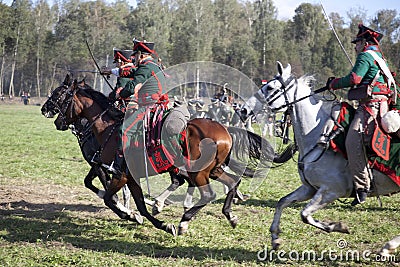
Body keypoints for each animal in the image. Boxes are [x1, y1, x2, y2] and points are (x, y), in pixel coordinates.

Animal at [42, 74, 280, 236]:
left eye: (59, 94)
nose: (47, 112)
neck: (106, 128)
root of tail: (225, 131)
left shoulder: (117, 174)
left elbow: (109, 198)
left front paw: (129, 214)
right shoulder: (128, 177)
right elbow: (137, 204)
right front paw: (157, 222)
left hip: (199, 173)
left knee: (207, 194)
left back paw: (184, 220)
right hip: (213, 170)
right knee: (231, 182)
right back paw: (230, 215)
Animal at [241, 61, 400, 254]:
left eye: (270, 87)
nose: (243, 110)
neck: (319, 135)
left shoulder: (330, 191)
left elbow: (304, 215)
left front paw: (337, 227)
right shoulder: (309, 189)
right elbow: (282, 202)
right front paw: (275, 238)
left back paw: (388, 246)